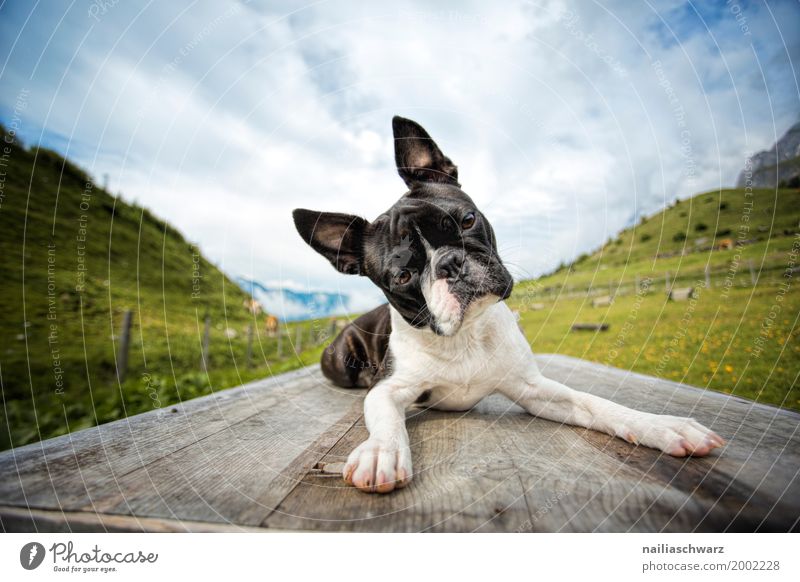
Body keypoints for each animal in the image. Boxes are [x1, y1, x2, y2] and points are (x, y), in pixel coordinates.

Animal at [294, 116, 724, 496]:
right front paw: (381, 451)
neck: (465, 335)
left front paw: (660, 425)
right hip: (341, 358)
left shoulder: (532, 388)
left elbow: (594, 402)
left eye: (467, 220)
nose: (450, 263)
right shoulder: (389, 387)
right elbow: (384, 415)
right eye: (402, 277)